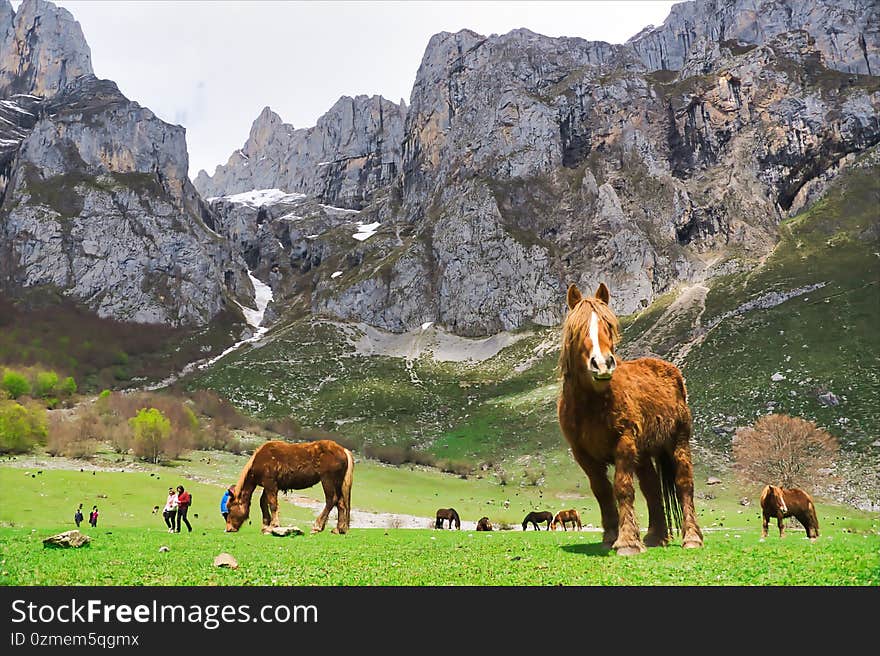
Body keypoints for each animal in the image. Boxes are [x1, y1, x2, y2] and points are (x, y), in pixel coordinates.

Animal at [223, 440, 354, 532]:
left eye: (229, 509)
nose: (229, 529)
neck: (259, 461)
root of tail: (343, 450)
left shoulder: (270, 484)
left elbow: (272, 504)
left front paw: (273, 525)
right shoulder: (268, 486)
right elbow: (263, 502)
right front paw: (266, 524)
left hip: (327, 480)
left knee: (331, 500)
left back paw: (317, 526)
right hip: (337, 483)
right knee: (341, 503)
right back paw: (339, 529)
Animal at [560, 284, 704, 556]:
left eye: (609, 326)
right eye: (578, 329)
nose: (602, 364)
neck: (593, 403)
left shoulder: (624, 444)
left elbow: (623, 488)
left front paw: (627, 541)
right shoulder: (582, 454)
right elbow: (602, 491)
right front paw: (611, 536)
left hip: (678, 443)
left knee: (684, 485)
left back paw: (691, 538)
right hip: (644, 455)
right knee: (652, 489)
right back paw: (656, 537)